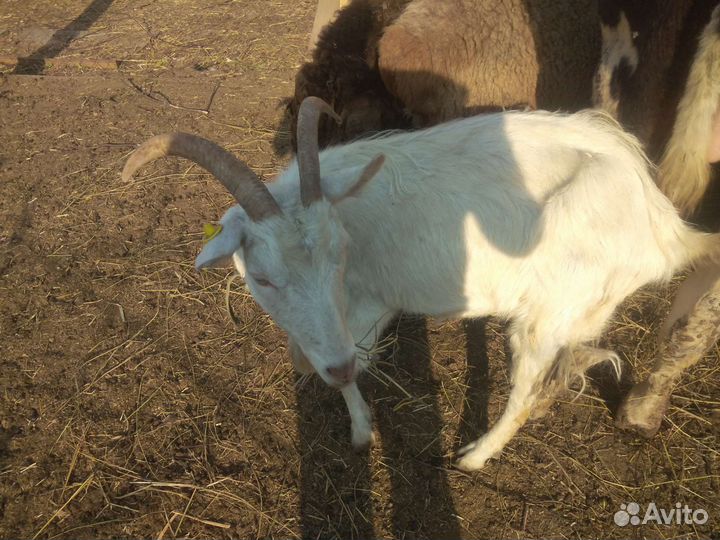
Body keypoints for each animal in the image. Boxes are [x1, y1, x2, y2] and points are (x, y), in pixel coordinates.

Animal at [122, 97, 720, 470]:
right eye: (264, 278)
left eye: (340, 258)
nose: (334, 363)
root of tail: (663, 224)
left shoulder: (362, 314)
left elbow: (350, 371)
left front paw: (361, 432)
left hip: (549, 310)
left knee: (525, 389)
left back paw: (475, 455)